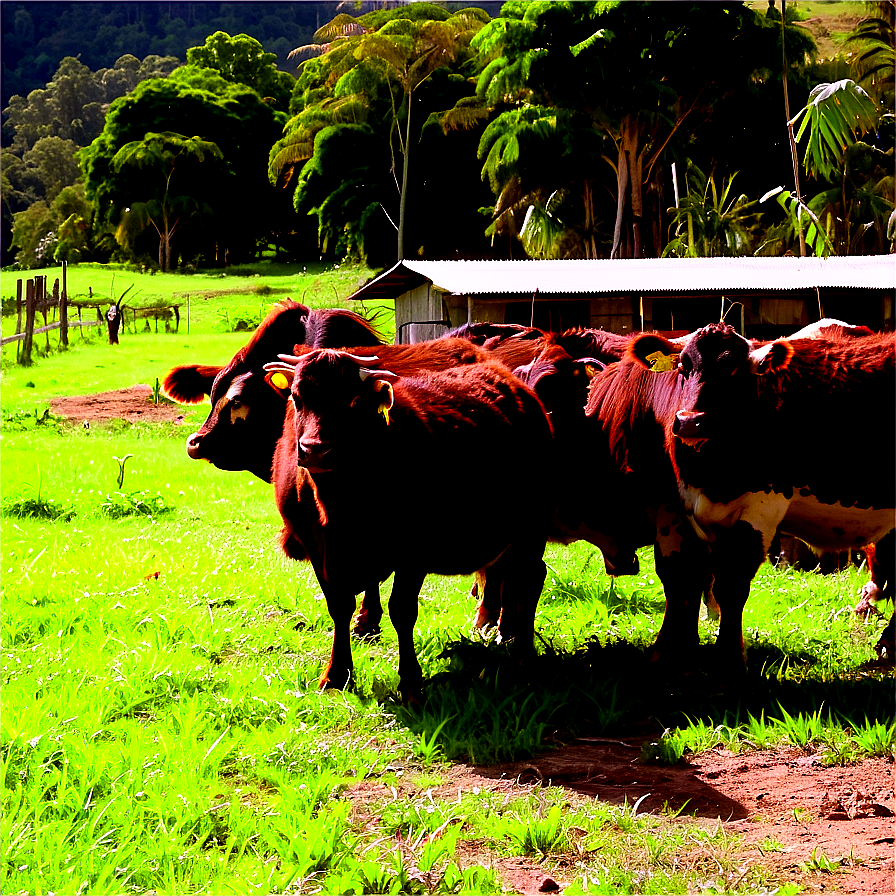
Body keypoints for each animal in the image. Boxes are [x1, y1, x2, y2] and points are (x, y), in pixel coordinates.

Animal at [266, 346, 556, 696]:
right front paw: (336, 673)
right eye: (297, 397)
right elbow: (339, 606)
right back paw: (506, 633)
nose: (315, 450)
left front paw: (410, 680)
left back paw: (525, 661)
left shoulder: (414, 551)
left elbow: (402, 611)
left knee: (530, 578)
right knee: (508, 573)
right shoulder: (318, 550)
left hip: (533, 523)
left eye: (352, 401)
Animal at [624, 324, 896, 672]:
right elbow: (681, 577)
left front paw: (728, 657)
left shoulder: (761, 508)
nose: (690, 421)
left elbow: (731, 584)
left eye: (734, 371)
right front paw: (667, 652)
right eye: (684, 367)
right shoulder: (677, 507)